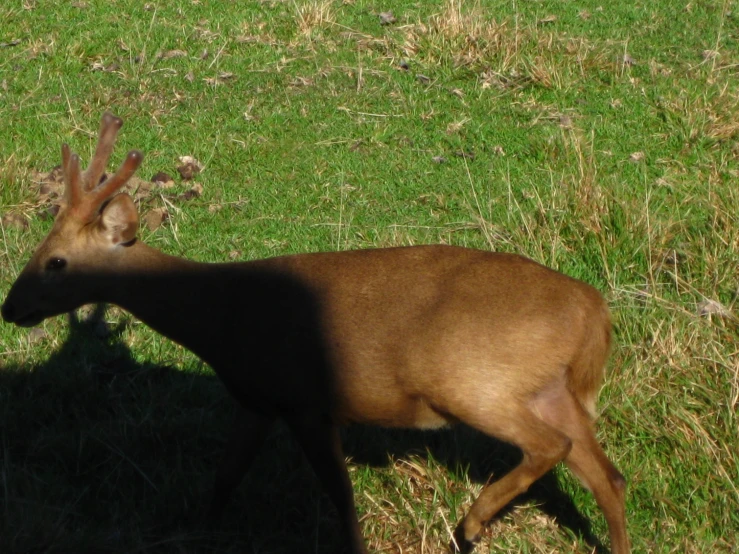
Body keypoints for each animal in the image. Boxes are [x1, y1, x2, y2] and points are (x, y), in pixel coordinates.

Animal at [0, 112, 632, 552]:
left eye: (55, 261)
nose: (10, 308)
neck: (220, 317)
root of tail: (594, 310)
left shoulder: (306, 400)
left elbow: (340, 495)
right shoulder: (257, 398)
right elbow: (225, 476)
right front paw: (198, 529)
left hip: (473, 378)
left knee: (552, 447)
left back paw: (472, 523)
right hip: (551, 390)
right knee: (610, 477)